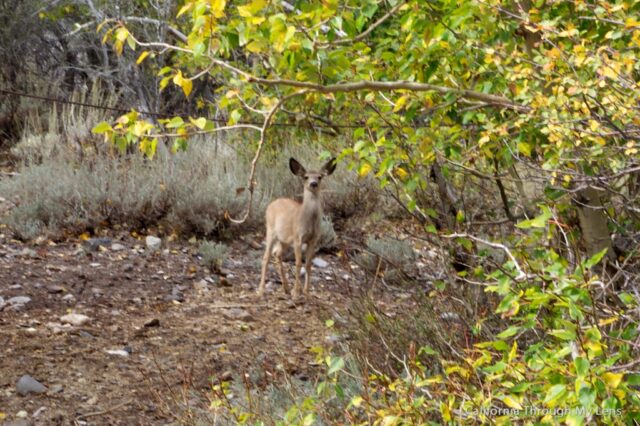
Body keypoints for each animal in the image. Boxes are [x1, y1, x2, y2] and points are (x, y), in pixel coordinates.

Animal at [258, 156, 338, 300]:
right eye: (306, 177)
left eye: (319, 177)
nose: (313, 183)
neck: (308, 221)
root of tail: (272, 203)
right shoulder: (297, 237)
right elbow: (298, 263)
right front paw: (296, 293)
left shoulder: (313, 239)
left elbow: (308, 265)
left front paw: (305, 292)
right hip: (270, 230)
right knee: (266, 257)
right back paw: (261, 290)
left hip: (284, 239)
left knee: (277, 253)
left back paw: (286, 288)